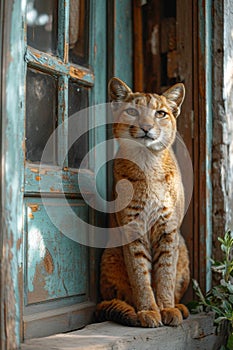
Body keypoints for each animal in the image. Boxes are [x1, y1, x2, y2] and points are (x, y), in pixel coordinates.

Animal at [95, 78, 190, 326]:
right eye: (132, 112)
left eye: (161, 113)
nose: (146, 127)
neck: (148, 161)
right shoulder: (132, 230)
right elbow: (140, 276)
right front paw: (148, 310)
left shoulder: (169, 230)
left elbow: (165, 274)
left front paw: (167, 308)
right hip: (110, 253)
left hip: (182, 246)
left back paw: (180, 307)